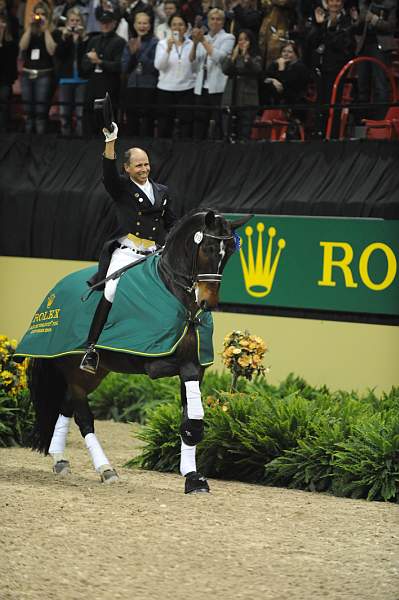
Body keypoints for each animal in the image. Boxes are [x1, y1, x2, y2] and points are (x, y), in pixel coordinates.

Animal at [23, 209, 250, 494]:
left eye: (228, 252)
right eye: (208, 248)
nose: (208, 302)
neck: (180, 300)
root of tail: (52, 293)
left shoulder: (196, 369)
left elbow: (191, 420)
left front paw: (193, 478)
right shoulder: (163, 364)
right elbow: (191, 415)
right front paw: (193, 477)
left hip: (91, 374)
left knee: (66, 406)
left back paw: (60, 460)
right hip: (75, 370)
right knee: (83, 417)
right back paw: (106, 469)